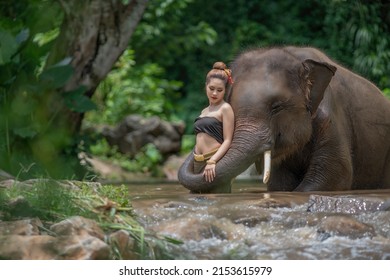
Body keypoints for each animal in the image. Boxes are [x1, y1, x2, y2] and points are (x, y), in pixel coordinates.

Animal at [178, 47, 390, 194]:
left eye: (277, 107)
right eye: (232, 108)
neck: (296, 57)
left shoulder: (331, 120)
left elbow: (335, 175)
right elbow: (280, 183)